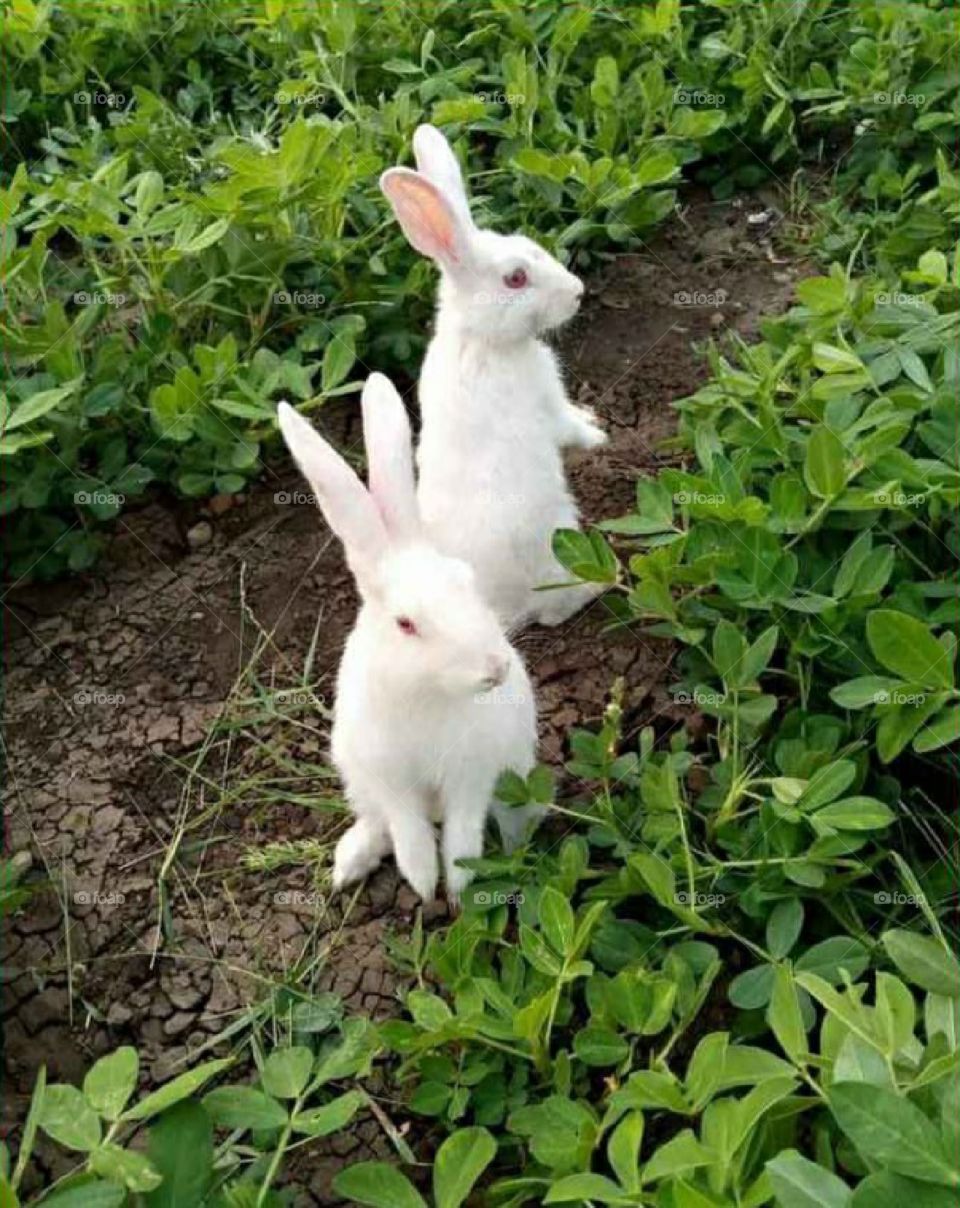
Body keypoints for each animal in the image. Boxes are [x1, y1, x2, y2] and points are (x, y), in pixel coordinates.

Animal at [276, 373, 541, 904]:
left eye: (467, 579)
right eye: (405, 624)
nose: (496, 668)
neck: (426, 695)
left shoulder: (472, 773)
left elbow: (462, 831)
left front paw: (456, 887)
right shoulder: (388, 777)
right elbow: (408, 827)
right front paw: (422, 882)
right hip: (356, 778)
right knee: (377, 822)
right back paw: (348, 866)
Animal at [380, 124, 608, 630]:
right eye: (516, 279)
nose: (578, 292)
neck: (482, 338)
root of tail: (505, 610)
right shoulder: (546, 405)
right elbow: (571, 429)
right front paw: (601, 438)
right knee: (555, 611)